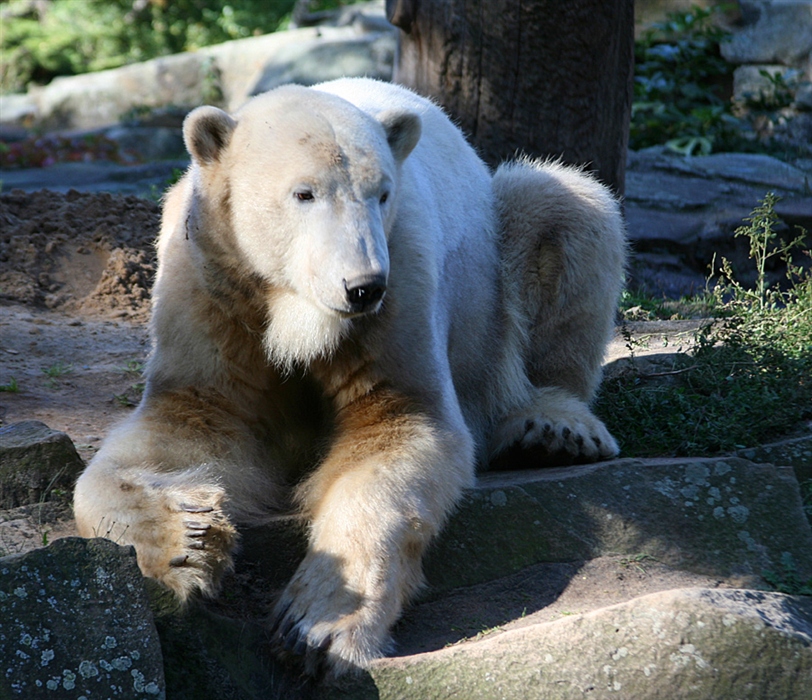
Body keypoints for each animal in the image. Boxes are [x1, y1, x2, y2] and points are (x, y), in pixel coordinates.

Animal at [73, 79, 624, 676]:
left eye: (381, 193)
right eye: (304, 193)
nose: (362, 286)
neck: (296, 312)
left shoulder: (399, 283)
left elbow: (395, 424)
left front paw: (317, 626)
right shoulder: (213, 286)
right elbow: (189, 419)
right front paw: (189, 539)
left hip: (495, 277)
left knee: (564, 205)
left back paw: (552, 428)